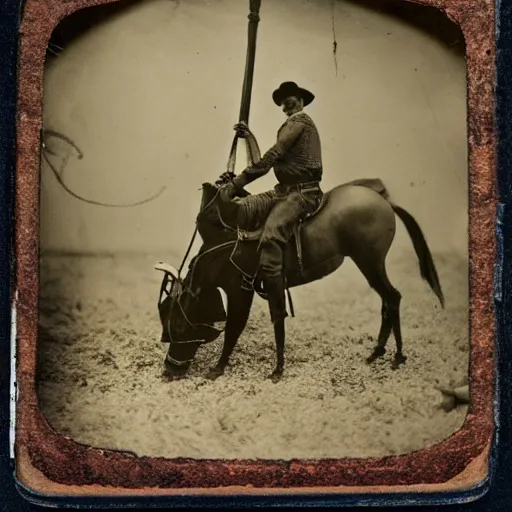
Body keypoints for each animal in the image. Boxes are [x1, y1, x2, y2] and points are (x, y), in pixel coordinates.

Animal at [155, 178, 444, 382]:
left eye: (178, 324)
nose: (169, 369)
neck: (222, 246)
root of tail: (383, 200)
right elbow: (269, 319)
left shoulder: (241, 290)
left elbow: (238, 327)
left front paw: (222, 368)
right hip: (371, 265)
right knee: (388, 301)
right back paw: (380, 353)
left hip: (370, 263)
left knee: (392, 298)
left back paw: (394, 355)